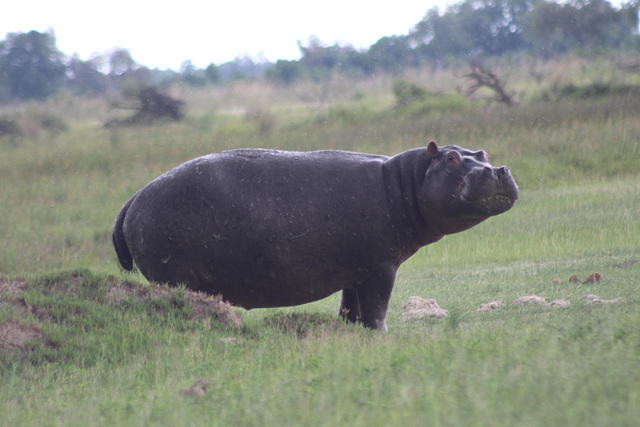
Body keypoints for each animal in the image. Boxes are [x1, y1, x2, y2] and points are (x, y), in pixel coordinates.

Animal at [112, 143, 516, 332]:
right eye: (450, 159)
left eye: (480, 152)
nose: (497, 169)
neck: (406, 180)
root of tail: (133, 198)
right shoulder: (380, 266)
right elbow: (377, 308)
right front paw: (383, 335)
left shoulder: (356, 270)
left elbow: (351, 309)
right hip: (173, 276)